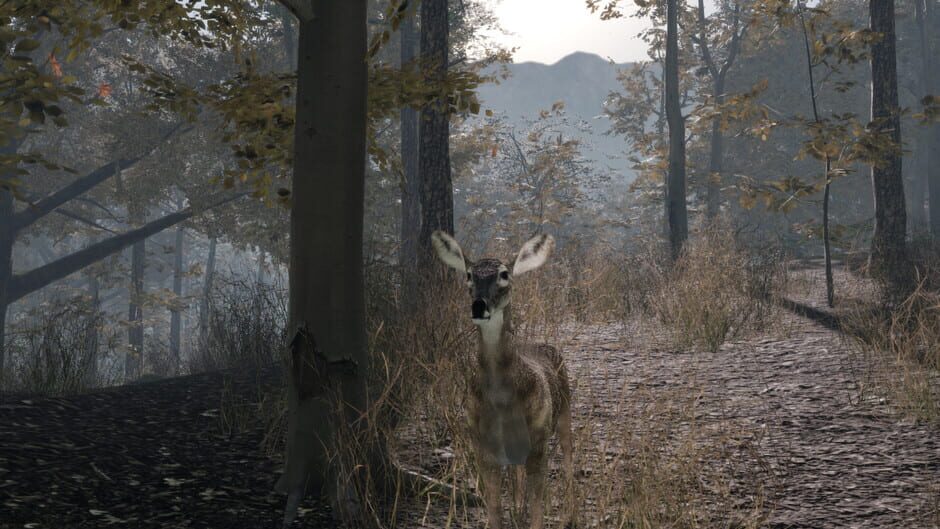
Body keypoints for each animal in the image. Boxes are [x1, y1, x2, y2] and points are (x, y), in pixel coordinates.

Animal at [431, 230, 575, 529]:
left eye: (504, 274)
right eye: (469, 274)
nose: (479, 306)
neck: (501, 400)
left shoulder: (538, 440)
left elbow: (537, 509)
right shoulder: (483, 446)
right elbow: (495, 508)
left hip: (564, 409)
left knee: (568, 456)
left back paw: (571, 515)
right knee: (517, 477)